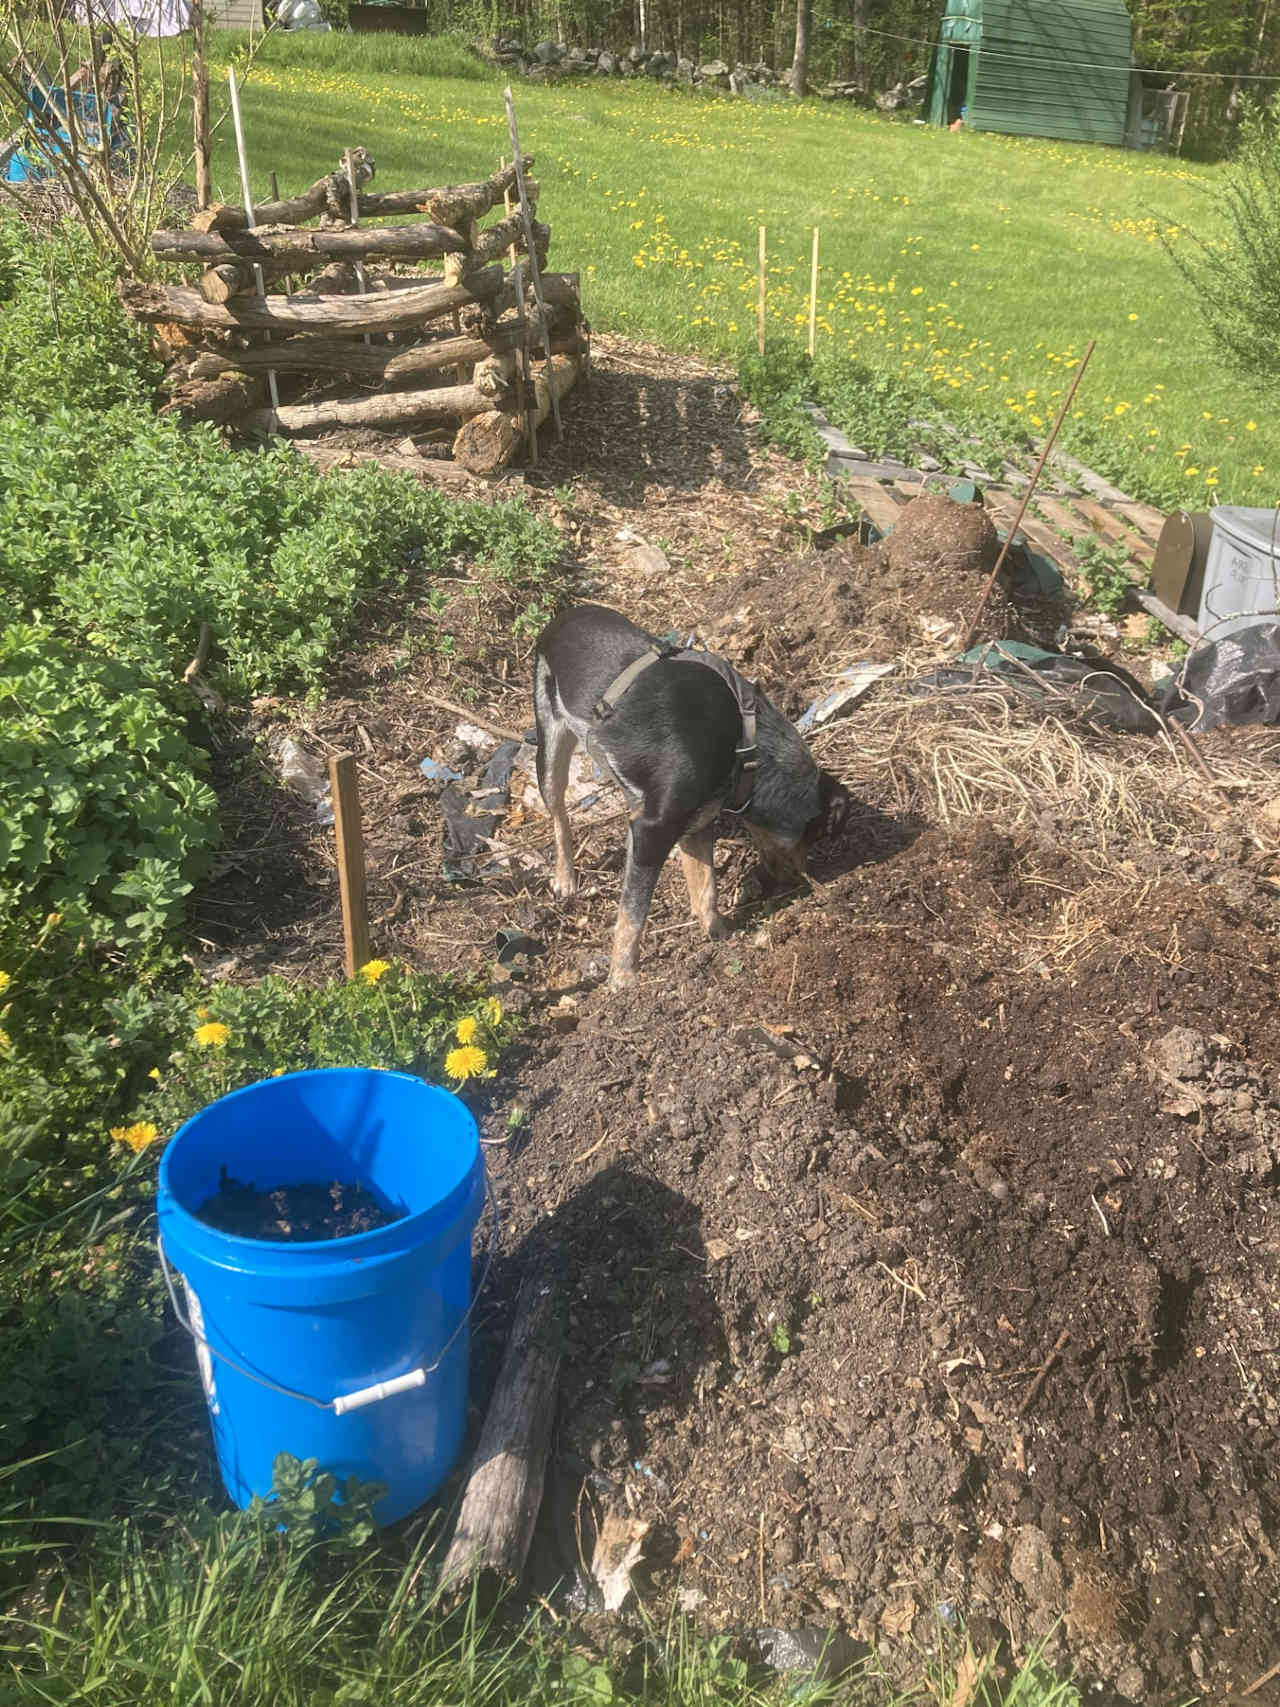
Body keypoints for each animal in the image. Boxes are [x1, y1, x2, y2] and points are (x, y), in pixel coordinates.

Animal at [532, 607, 853, 996]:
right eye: (815, 837)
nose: (803, 881)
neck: (747, 752)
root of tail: (564, 615)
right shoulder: (655, 830)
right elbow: (633, 913)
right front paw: (623, 977)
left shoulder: (695, 824)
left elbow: (706, 887)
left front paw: (720, 934)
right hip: (549, 742)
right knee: (558, 815)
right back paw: (565, 878)